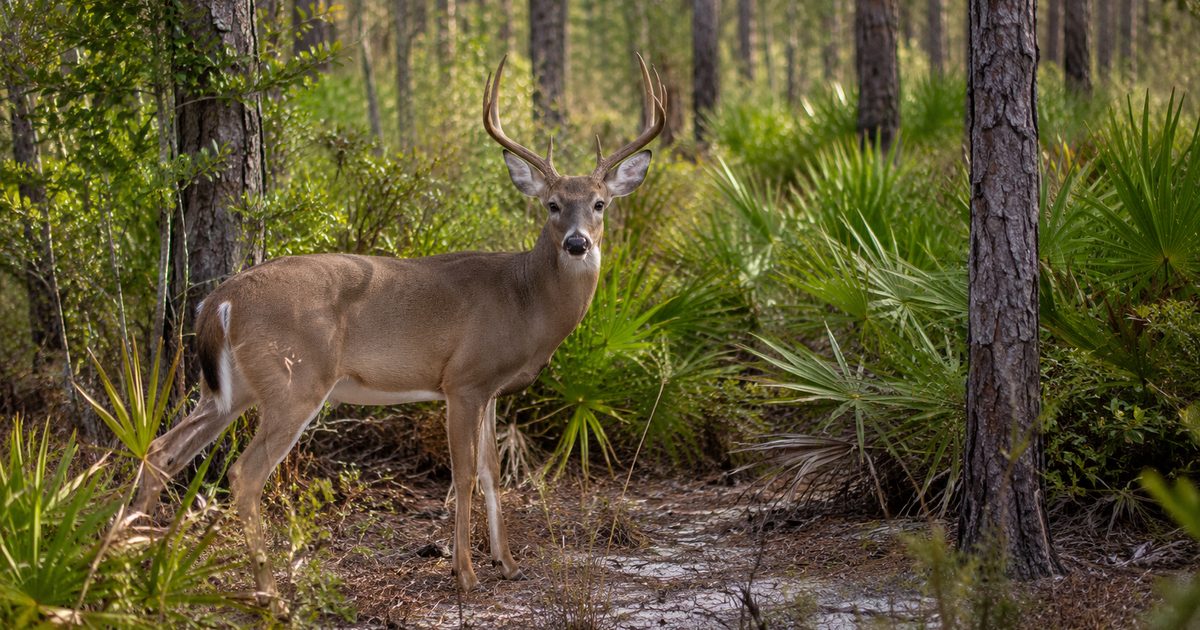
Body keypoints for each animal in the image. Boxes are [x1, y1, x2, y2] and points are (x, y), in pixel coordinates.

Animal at [130, 55, 665, 615]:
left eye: (600, 203)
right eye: (553, 204)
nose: (578, 243)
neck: (524, 298)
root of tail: (220, 299)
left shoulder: (490, 388)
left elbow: (494, 472)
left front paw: (508, 563)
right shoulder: (463, 380)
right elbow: (464, 474)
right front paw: (466, 574)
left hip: (228, 389)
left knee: (162, 450)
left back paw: (141, 574)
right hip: (294, 381)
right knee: (243, 474)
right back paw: (270, 597)